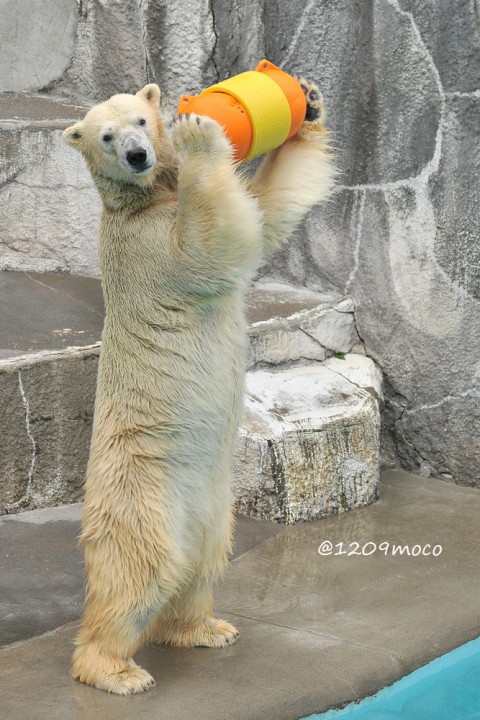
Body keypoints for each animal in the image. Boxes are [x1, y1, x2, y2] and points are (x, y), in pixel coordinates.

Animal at [62, 77, 334, 692]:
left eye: (141, 120)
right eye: (107, 135)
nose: (137, 155)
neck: (144, 199)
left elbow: (264, 211)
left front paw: (308, 103)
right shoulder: (144, 245)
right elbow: (208, 247)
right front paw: (197, 132)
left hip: (212, 505)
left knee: (201, 563)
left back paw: (204, 628)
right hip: (142, 490)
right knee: (138, 571)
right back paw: (115, 669)